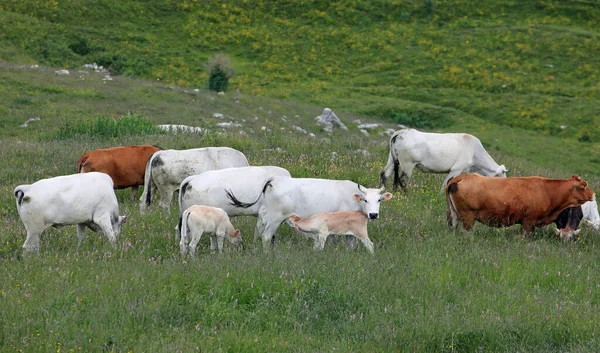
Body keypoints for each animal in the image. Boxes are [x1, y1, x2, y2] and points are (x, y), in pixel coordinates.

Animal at [226, 175, 394, 249]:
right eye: (366, 200)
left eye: (379, 200)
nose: (373, 215)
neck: (351, 196)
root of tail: (275, 180)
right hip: (275, 219)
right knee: (266, 236)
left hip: (266, 215)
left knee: (258, 231)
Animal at [446, 173, 596, 234]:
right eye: (584, 186)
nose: (594, 194)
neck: (547, 191)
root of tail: (461, 176)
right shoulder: (528, 221)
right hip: (468, 217)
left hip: (453, 215)